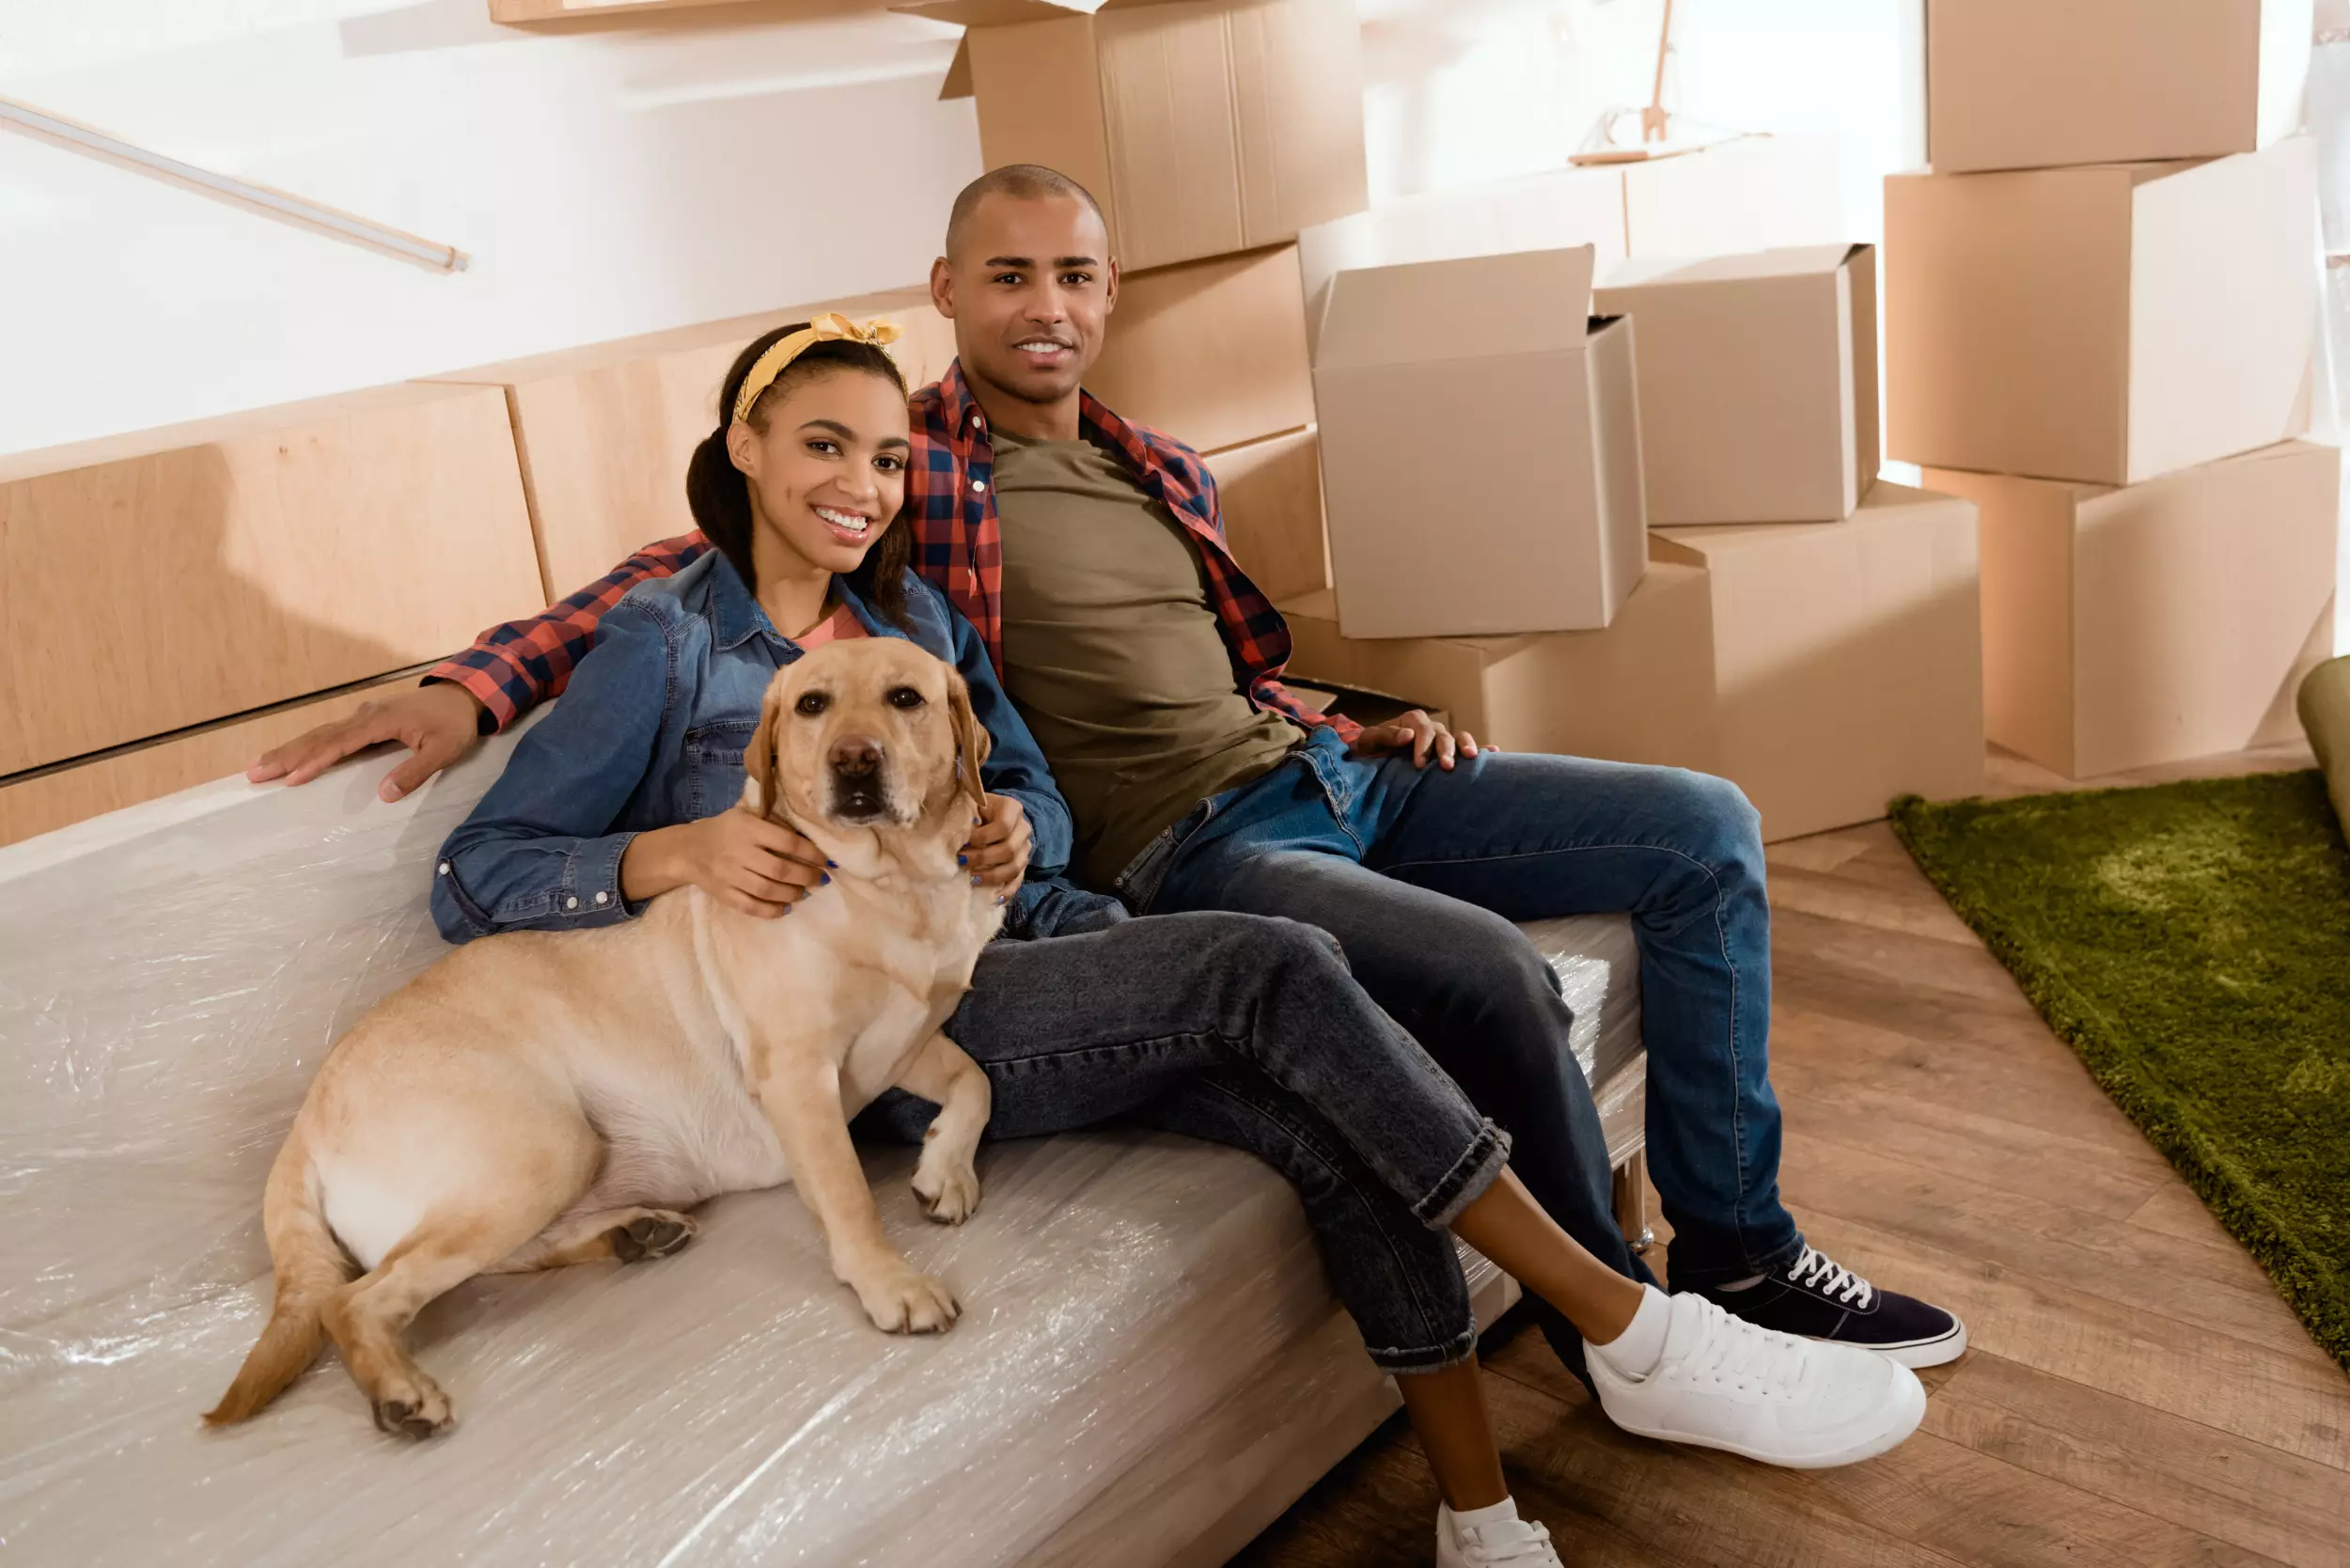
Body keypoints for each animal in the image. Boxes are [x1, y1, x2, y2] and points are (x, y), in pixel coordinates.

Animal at [207, 635, 1006, 1438]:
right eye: (814, 704)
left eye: (905, 698)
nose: (855, 759)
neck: (893, 887)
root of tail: (303, 1123)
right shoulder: (799, 1074)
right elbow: (848, 1194)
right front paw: (889, 1282)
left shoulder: (906, 1040)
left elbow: (976, 1083)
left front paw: (945, 1169)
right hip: (544, 1146)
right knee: (353, 1299)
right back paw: (400, 1389)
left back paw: (630, 1234)